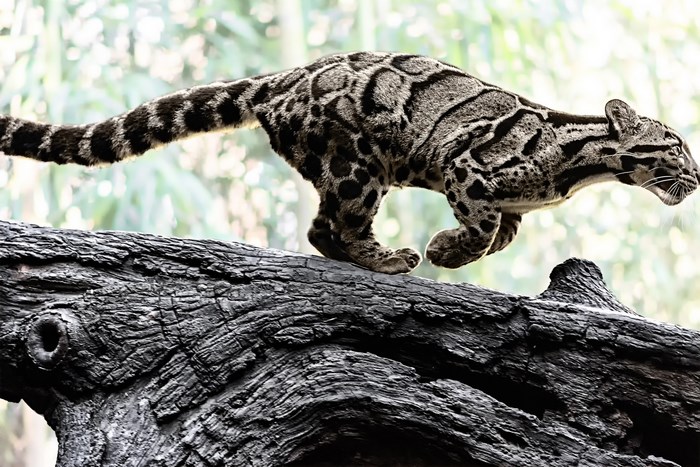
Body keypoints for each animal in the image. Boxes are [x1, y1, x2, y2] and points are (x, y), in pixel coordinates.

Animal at [1, 52, 697, 274]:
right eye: (676, 149)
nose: (695, 180)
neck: (578, 161)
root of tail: (285, 77)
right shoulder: (466, 166)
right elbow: (480, 227)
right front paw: (447, 250)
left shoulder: (508, 200)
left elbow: (503, 230)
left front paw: (471, 246)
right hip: (359, 163)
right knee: (332, 224)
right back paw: (387, 259)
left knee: (320, 227)